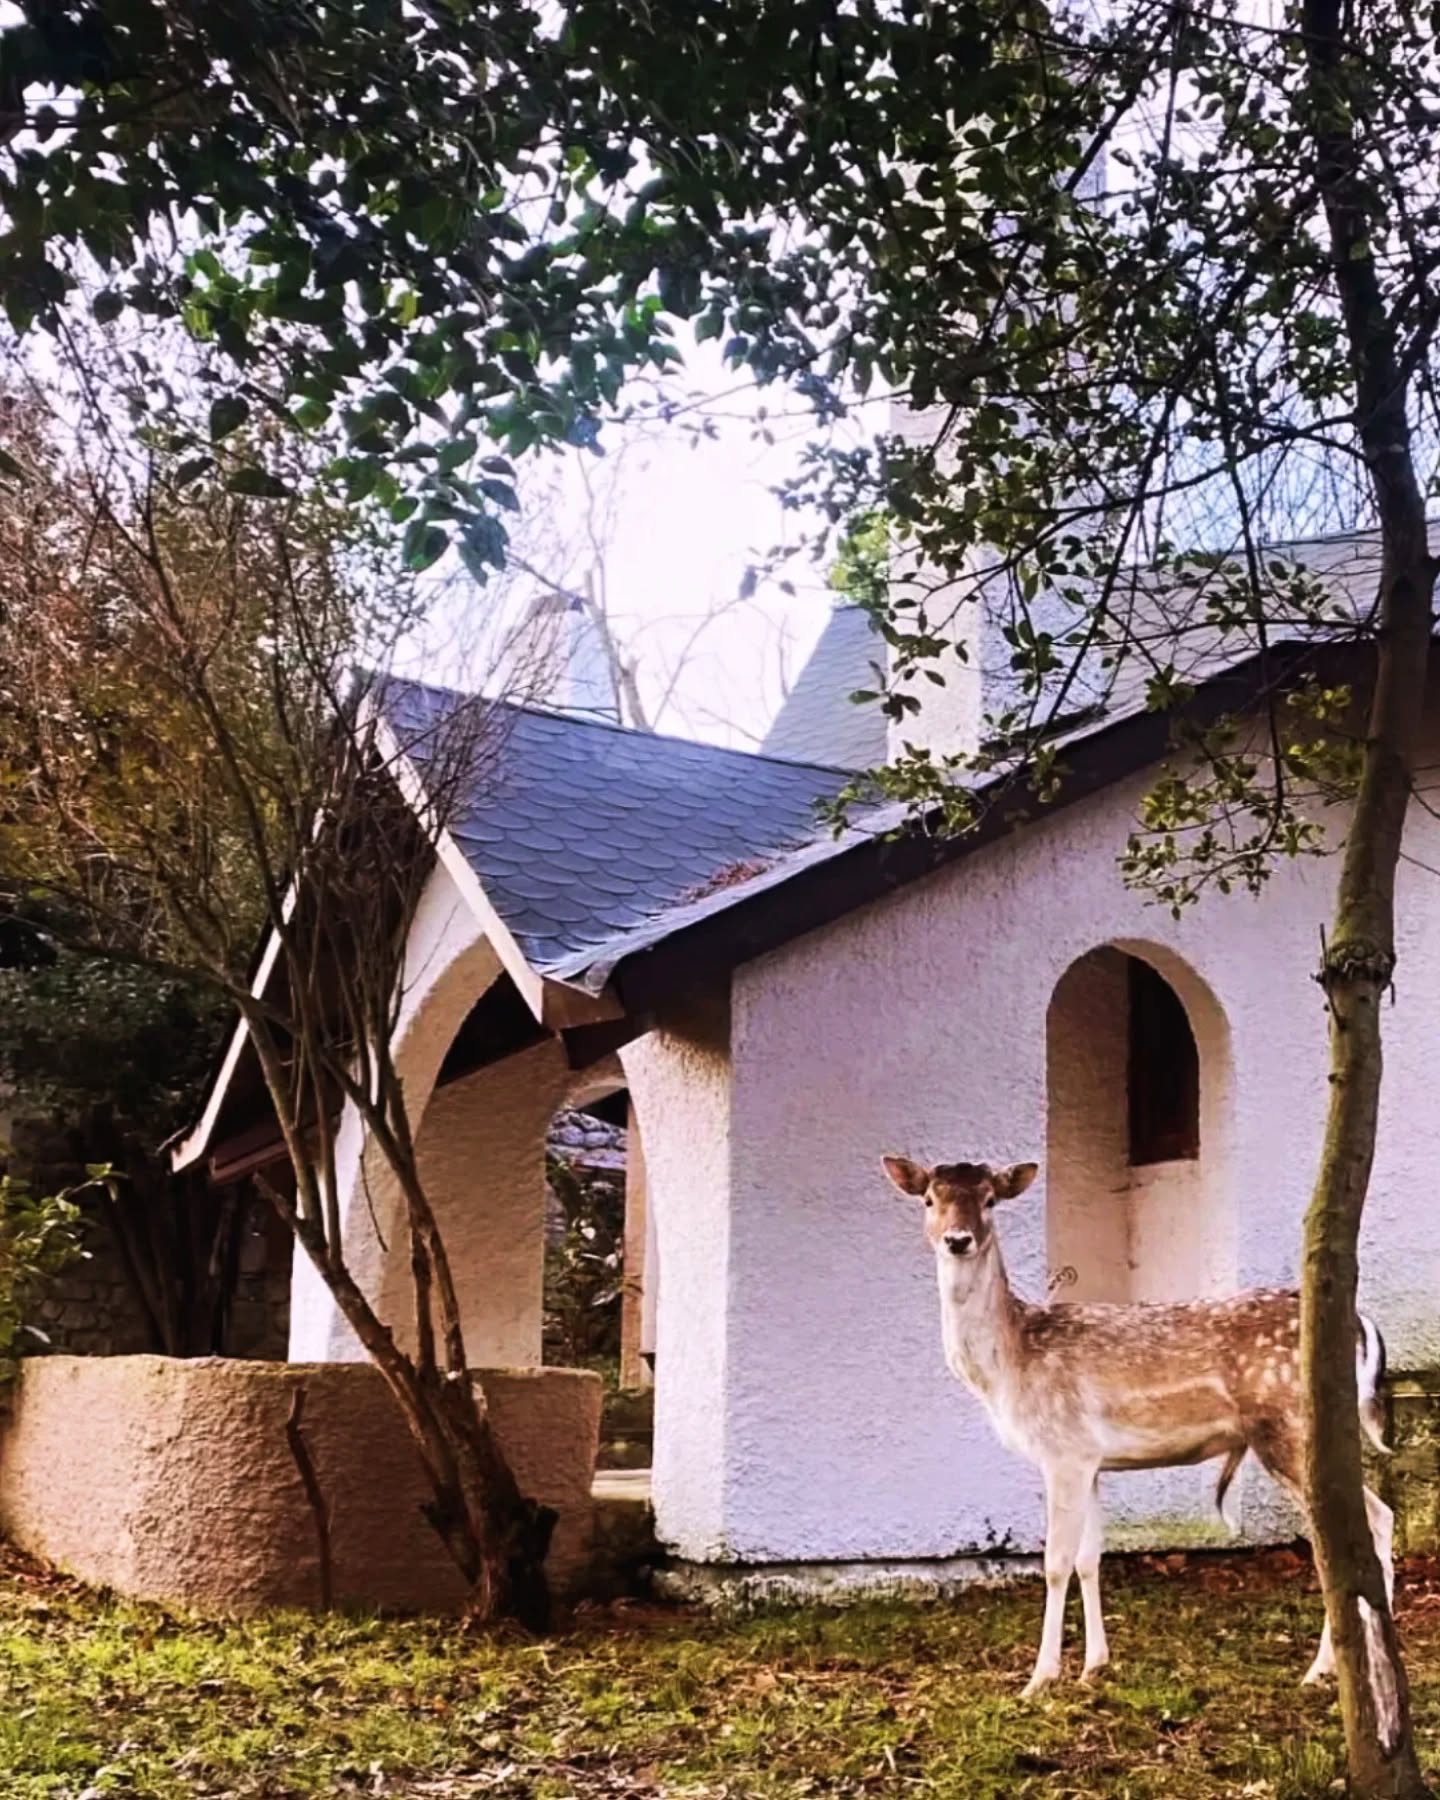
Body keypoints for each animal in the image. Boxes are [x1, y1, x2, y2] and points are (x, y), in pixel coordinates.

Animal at [881, 1153, 1393, 1697]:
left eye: (990, 1200)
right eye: (929, 1199)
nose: (958, 1239)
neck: (1008, 1367)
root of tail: (1359, 1325)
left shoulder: (1062, 1450)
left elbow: (1055, 1563)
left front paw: (1040, 1679)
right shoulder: (1091, 1460)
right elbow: (1089, 1558)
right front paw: (1094, 1666)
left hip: (1290, 1426)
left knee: (1364, 1525)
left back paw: (1329, 1670)